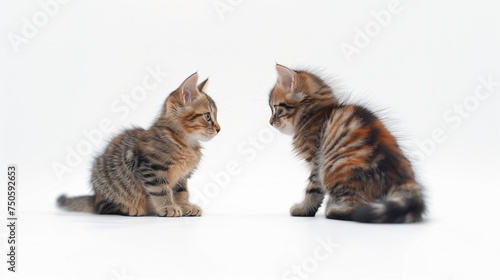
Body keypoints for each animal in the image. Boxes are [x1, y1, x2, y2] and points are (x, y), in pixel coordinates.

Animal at [57, 72, 220, 217]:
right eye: (207, 116)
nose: (219, 129)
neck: (184, 143)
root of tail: (94, 197)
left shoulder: (182, 177)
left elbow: (182, 193)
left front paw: (185, 206)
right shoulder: (151, 169)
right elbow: (161, 191)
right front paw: (168, 207)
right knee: (102, 208)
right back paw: (129, 209)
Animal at [270, 64, 426, 223]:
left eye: (275, 108)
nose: (270, 122)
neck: (314, 114)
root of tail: (404, 179)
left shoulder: (316, 161)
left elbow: (312, 189)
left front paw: (303, 209)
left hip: (336, 167)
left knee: (358, 207)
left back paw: (333, 210)